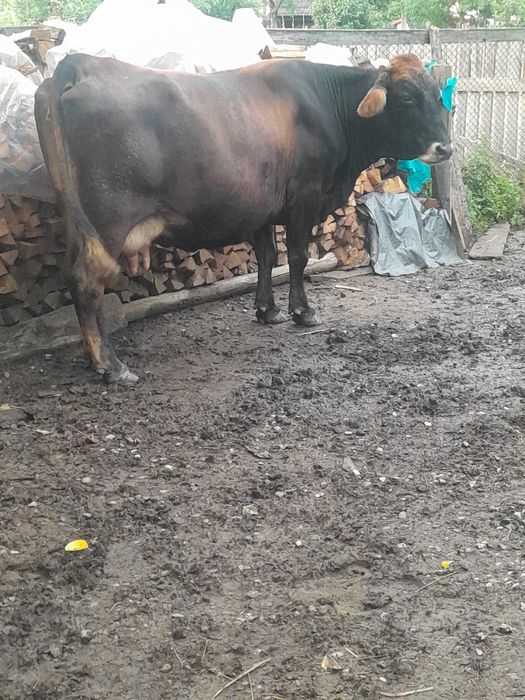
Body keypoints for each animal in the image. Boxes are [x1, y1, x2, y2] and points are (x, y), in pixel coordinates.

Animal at [34, 52, 452, 384]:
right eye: (407, 98)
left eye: (437, 97)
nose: (444, 148)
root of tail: (81, 63)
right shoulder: (303, 198)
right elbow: (296, 257)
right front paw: (303, 312)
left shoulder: (260, 207)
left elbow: (267, 256)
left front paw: (268, 310)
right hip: (107, 221)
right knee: (88, 280)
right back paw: (112, 366)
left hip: (77, 220)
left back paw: (92, 356)